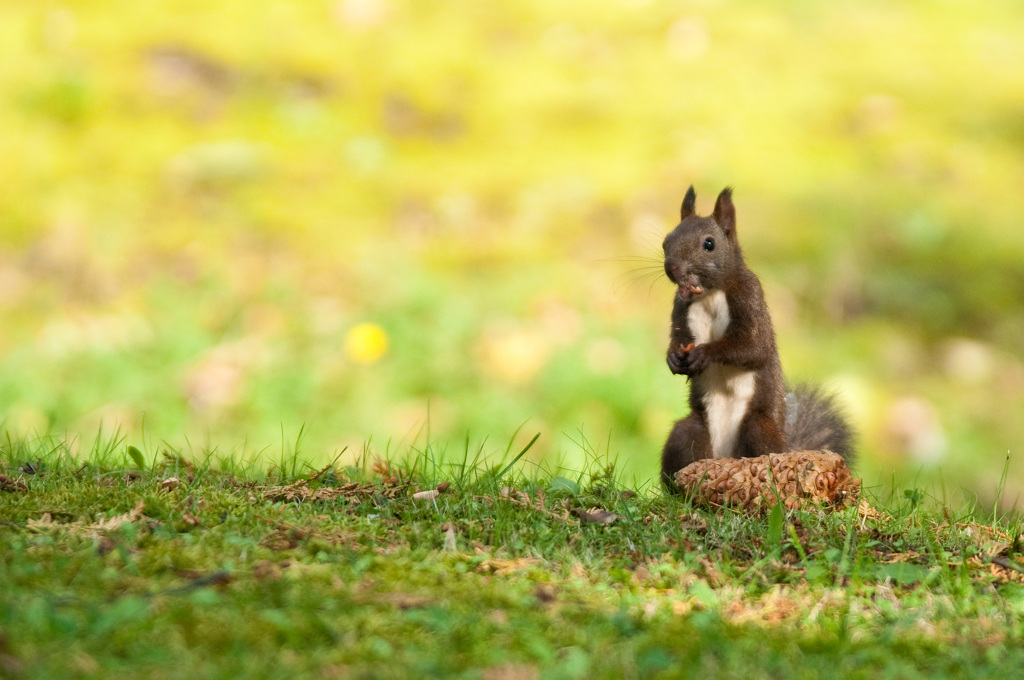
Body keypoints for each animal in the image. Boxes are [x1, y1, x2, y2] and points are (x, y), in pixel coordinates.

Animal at [659, 183, 851, 485]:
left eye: (709, 244)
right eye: (666, 242)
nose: (672, 268)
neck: (709, 294)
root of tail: (725, 455)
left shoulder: (750, 299)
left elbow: (754, 347)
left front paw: (705, 353)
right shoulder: (680, 309)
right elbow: (677, 338)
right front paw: (672, 358)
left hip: (758, 429)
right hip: (688, 433)